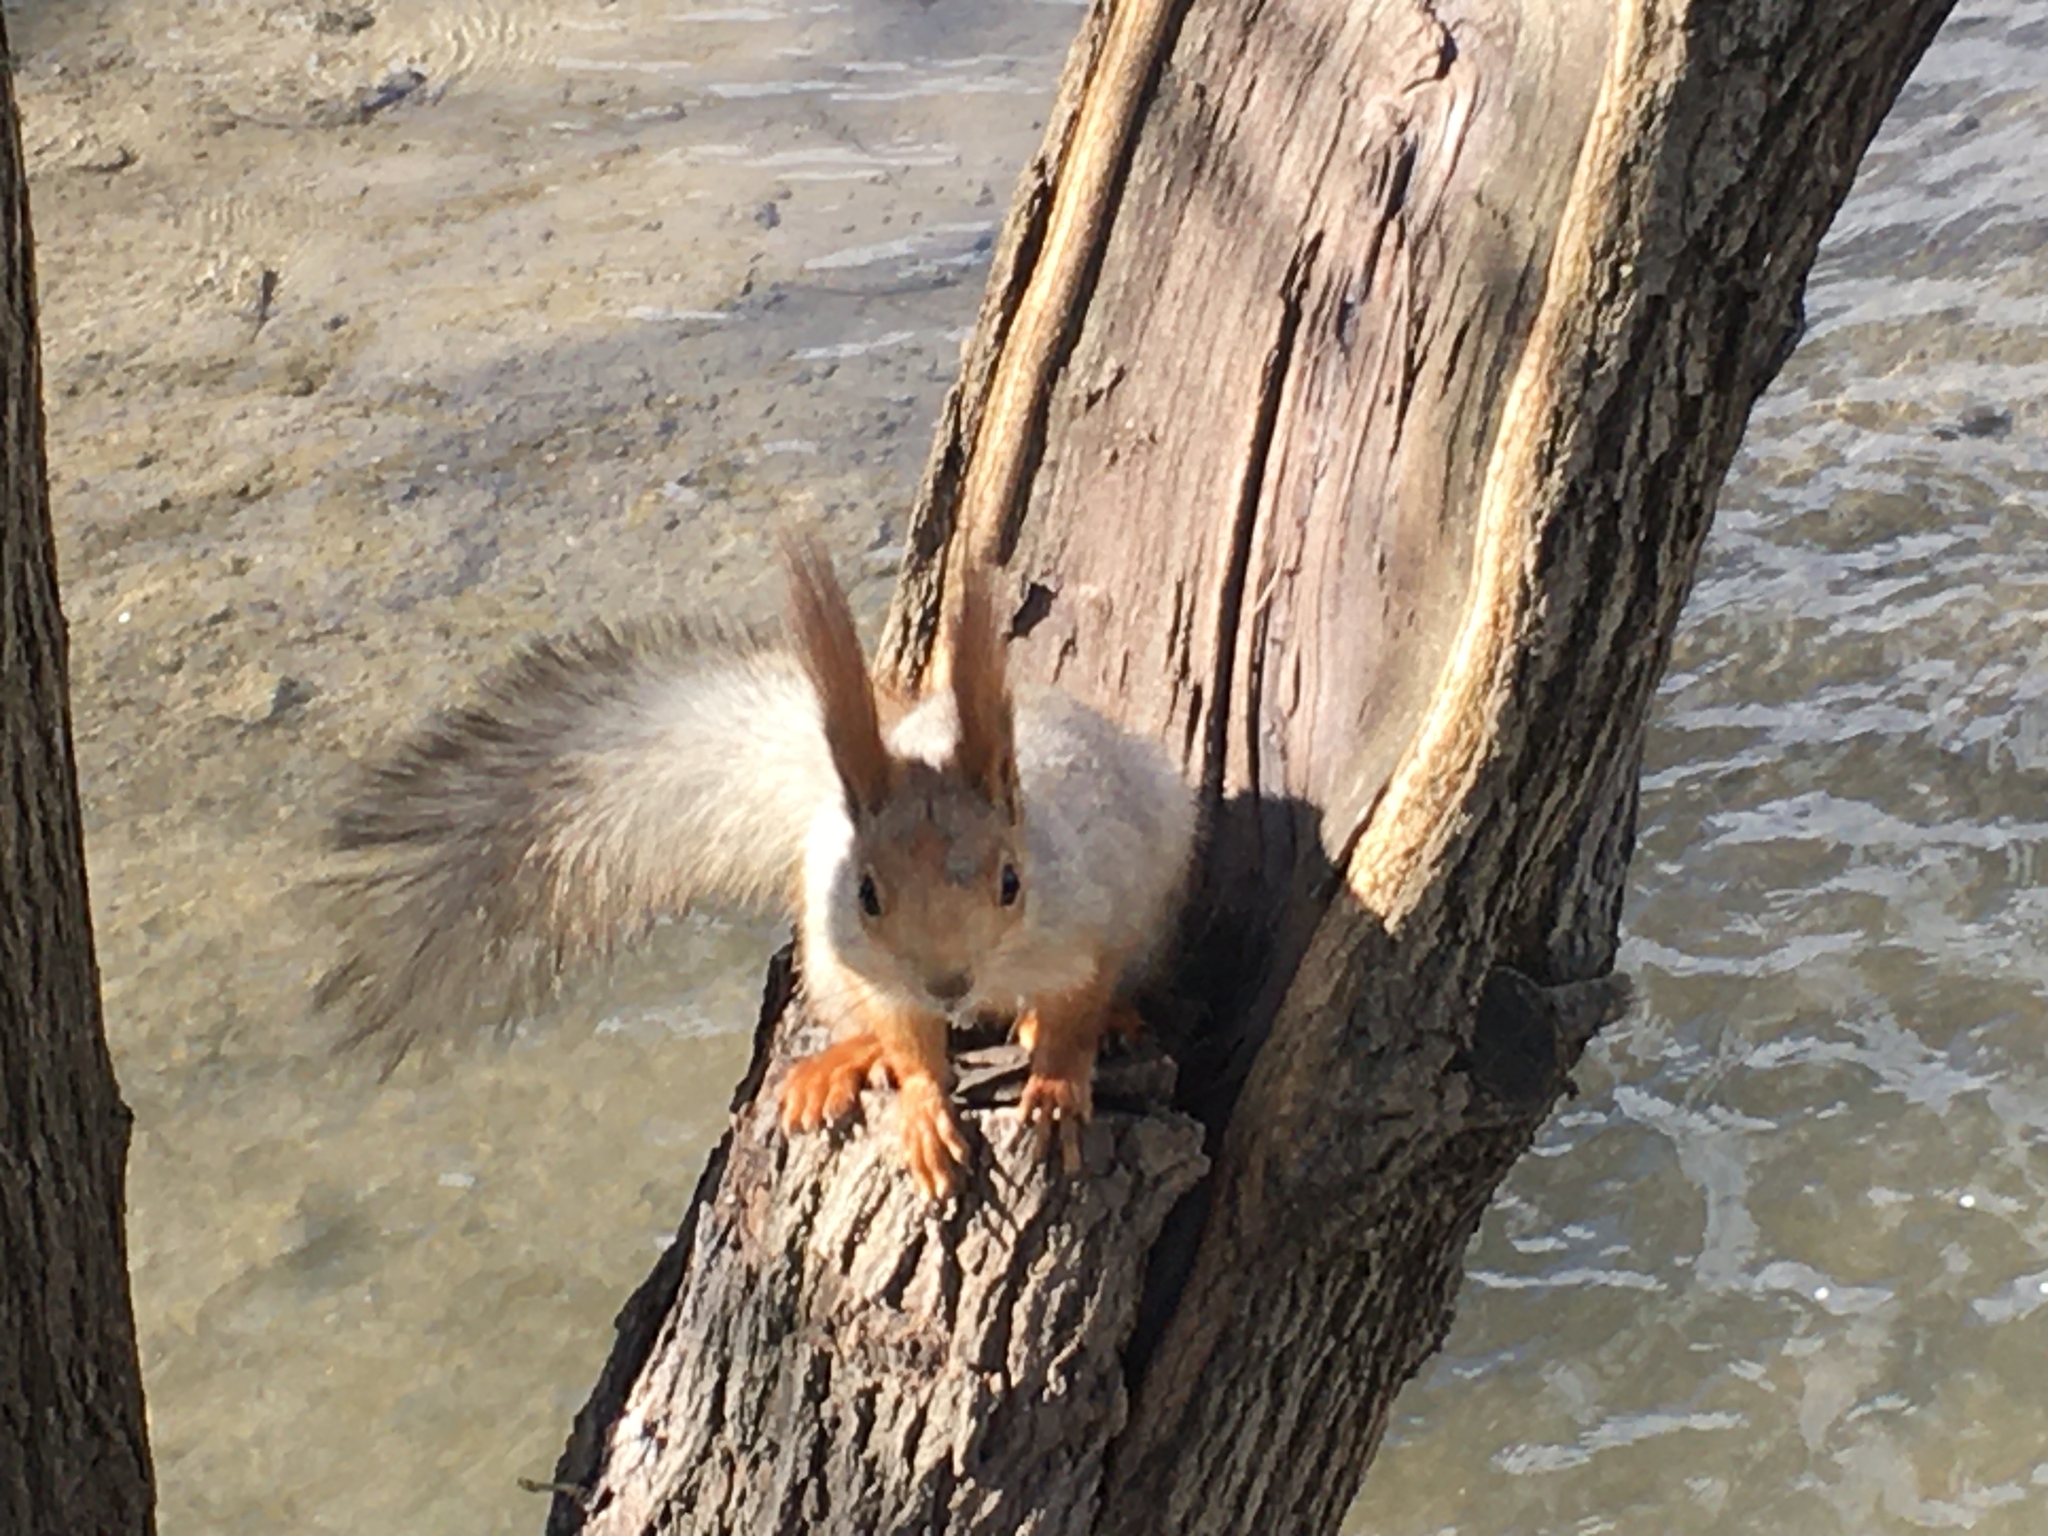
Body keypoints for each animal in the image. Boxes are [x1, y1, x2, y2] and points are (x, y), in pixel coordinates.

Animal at [319, 540, 1196, 1204]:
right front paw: (921, 1108)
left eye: (1010, 882)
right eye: (867, 894)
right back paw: (842, 1063)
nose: (949, 984)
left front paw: (1056, 1086)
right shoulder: (875, 966)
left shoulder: (1089, 911)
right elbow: (908, 1039)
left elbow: (1077, 1004)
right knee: (858, 1020)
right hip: (824, 959)